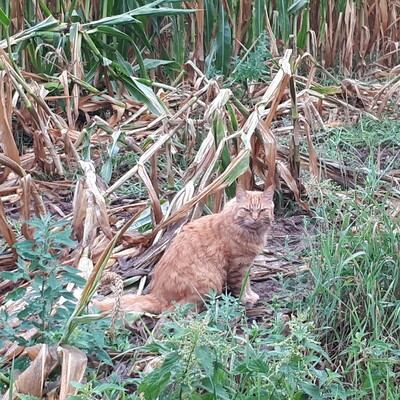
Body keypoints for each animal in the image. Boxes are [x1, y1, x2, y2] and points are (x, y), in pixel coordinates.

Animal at [94, 186, 276, 314]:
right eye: (247, 210)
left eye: (262, 210)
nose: (254, 219)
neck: (252, 233)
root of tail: (156, 294)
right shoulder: (238, 267)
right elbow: (241, 286)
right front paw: (246, 299)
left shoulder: (247, 265)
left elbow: (248, 283)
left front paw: (251, 295)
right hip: (210, 283)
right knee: (173, 311)